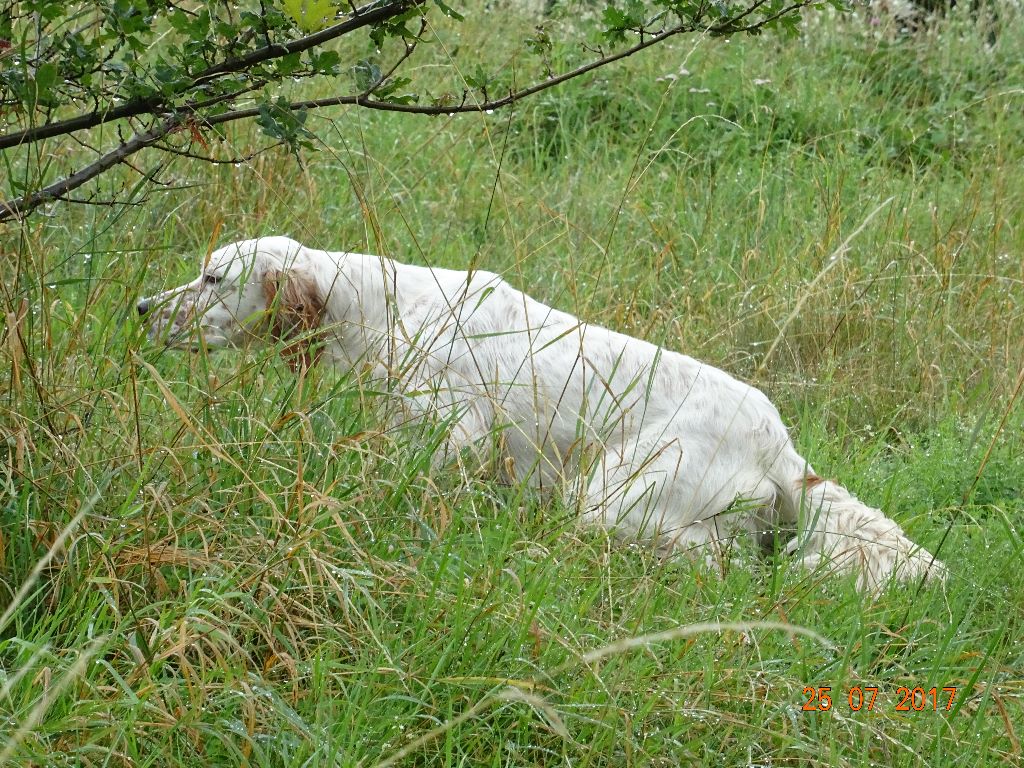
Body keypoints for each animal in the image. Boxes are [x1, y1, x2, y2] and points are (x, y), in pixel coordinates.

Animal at [140, 237, 946, 593]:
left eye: (213, 278)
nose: (144, 306)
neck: (375, 310)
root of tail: (784, 449)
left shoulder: (452, 433)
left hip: (613, 496)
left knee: (713, 560)